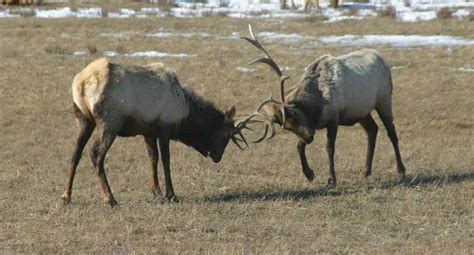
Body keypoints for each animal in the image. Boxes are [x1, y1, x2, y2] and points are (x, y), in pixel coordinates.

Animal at [62, 57, 248, 205]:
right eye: (225, 135)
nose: (218, 156)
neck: (185, 113)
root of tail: (81, 83)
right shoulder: (165, 127)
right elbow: (166, 159)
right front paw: (171, 194)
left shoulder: (148, 131)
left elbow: (153, 158)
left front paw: (156, 191)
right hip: (110, 122)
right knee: (96, 154)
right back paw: (110, 198)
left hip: (84, 120)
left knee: (75, 153)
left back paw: (66, 196)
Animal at [239, 25, 406, 185]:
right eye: (286, 127)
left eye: (294, 114)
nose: (309, 137)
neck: (317, 107)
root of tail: (383, 60)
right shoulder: (311, 125)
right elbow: (299, 146)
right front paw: (309, 174)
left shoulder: (333, 118)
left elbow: (329, 148)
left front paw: (331, 179)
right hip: (361, 112)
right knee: (372, 130)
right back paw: (366, 171)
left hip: (384, 100)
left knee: (392, 133)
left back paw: (401, 171)